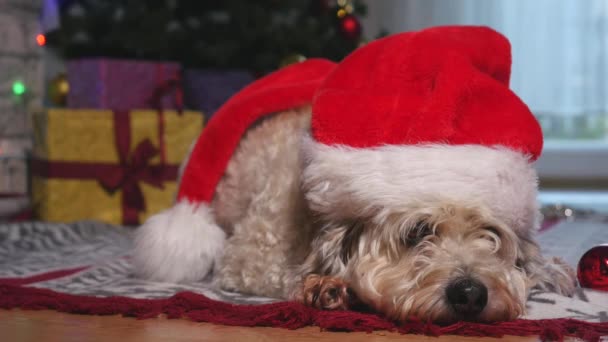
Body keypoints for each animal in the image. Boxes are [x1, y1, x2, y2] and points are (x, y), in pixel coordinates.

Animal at [131, 26, 576, 324]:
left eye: (491, 233)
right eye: (417, 232)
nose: (470, 293)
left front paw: (553, 271)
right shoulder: (251, 255)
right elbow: (283, 272)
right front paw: (326, 287)